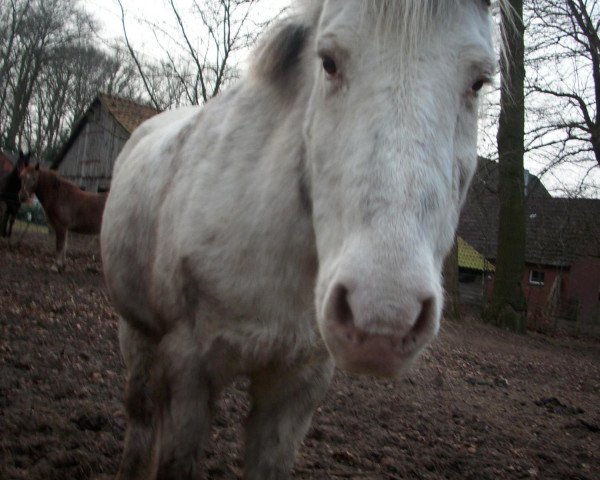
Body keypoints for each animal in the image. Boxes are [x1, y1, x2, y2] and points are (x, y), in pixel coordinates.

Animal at [102, 1, 496, 478]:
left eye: (479, 81)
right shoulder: (189, 369)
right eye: (327, 62)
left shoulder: (297, 387)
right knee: (141, 421)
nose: (383, 317)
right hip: (137, 334)